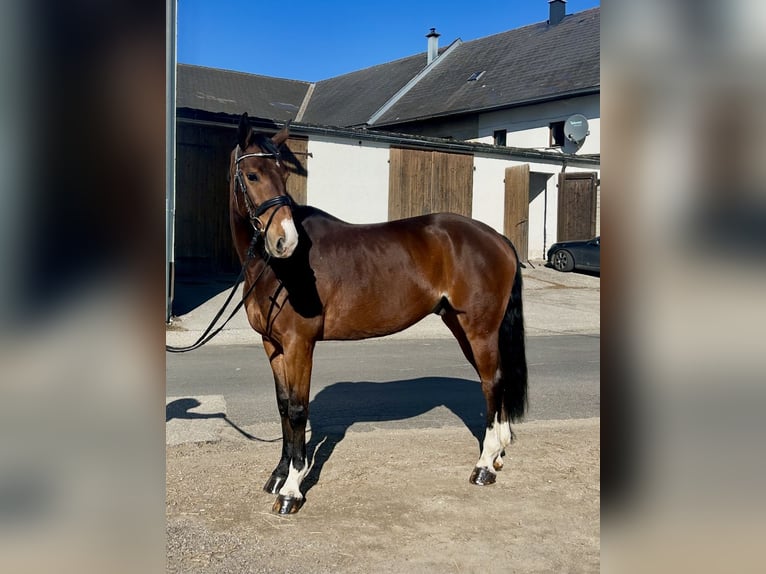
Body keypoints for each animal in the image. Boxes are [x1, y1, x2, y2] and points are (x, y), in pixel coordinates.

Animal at [230, 112, 528, 516]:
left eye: (283, 174)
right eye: (252, 175)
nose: (284, 241)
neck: (277, 270)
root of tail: (499, 239)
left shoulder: (299, 345)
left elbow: (297, 409)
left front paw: (291, 489)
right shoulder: (272, 345)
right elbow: (281, 407)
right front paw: (278, 475)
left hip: (479, 329)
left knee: (492, 381)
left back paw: (484, 465)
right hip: (462, 325)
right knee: (495, 381)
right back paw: (496, 454)